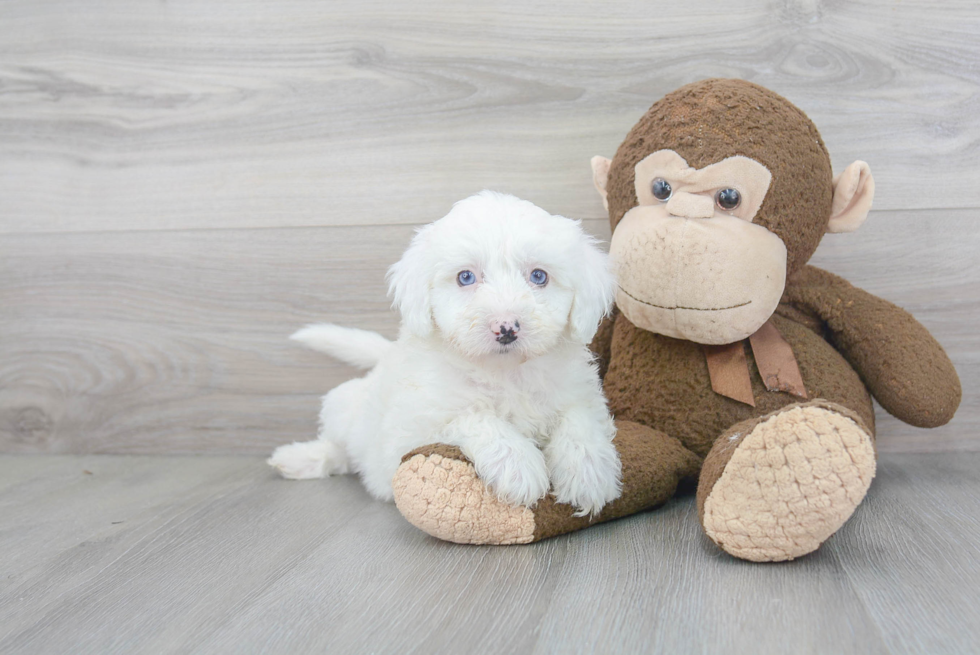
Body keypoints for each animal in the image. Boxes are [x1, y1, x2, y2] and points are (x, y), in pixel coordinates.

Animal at [268, 190, 620, 516]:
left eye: (538, 276)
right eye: (466, 277)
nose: (506, 327)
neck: (505, 371)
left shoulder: (580, 393)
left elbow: (579, 420)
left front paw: (589, 473)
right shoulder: (415, 426)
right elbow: (473, 417)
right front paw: (518, 465)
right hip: (345, 408)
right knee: (339, 449)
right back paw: (300, 459)